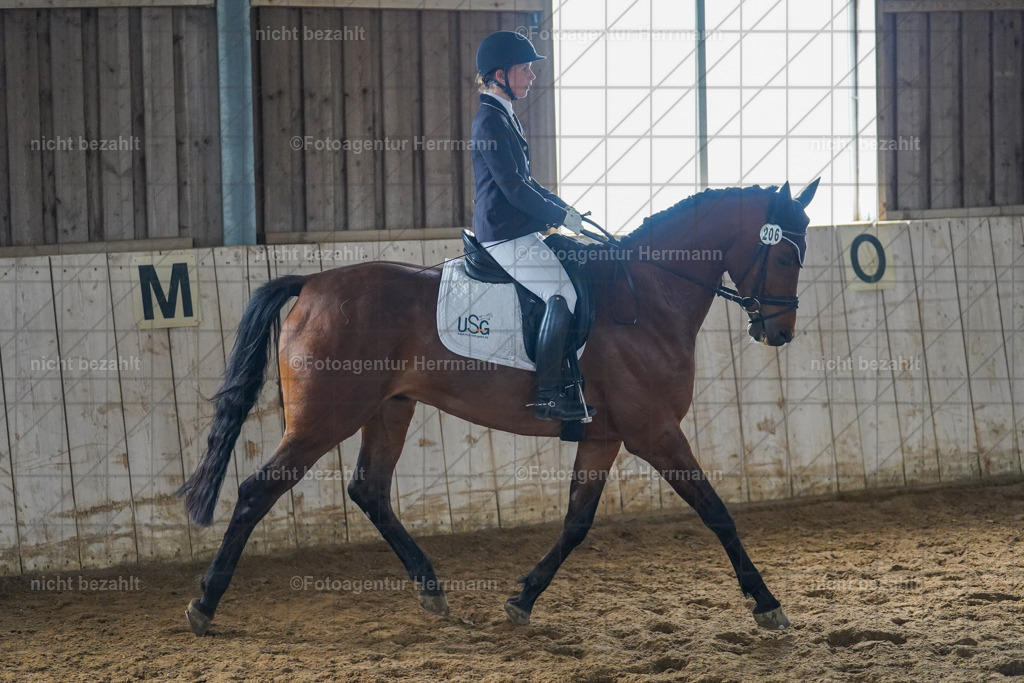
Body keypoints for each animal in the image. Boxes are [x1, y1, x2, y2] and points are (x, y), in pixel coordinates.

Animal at [178, 180, 819, 637]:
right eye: (787, 257)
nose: (779, 332)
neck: (648, 295)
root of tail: (311, 285)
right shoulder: (655, 433)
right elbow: (717, 513)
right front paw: (767, 605)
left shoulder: (604, 436)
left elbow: (577, 522)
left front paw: (522, 598)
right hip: (325, 418)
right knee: (258, 490)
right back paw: (205, 604)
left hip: (390, 409)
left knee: (368, 489)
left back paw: (431, 589)